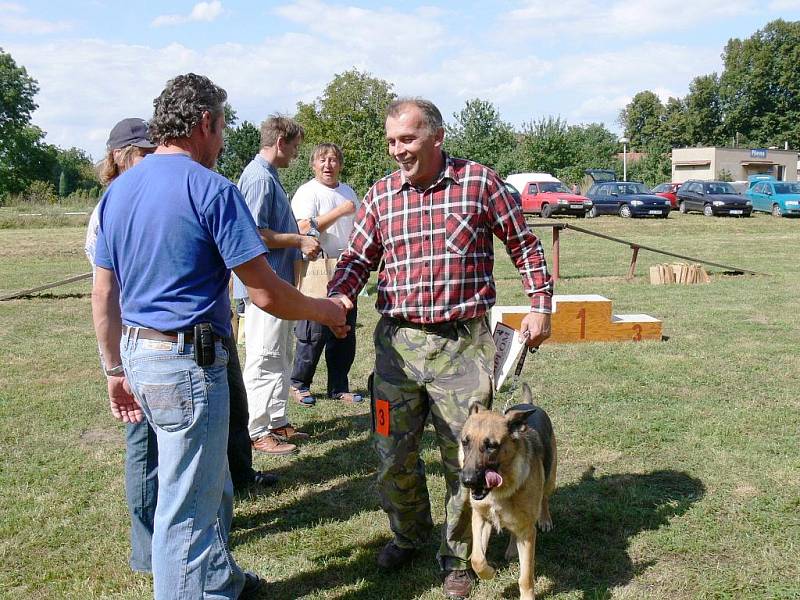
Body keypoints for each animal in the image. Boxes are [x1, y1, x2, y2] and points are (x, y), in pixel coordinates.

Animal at [456, 384, 556, 600]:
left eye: (491, 446)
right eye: (465, 442)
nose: (467, 481)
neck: (500, 492)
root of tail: (529, 404)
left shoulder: (527, 533)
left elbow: (526, 578)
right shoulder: (480, 518)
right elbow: (477, 559)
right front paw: (490, 572)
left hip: (550, 478)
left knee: (544, 498)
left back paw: (545, 519)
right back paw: (511, 549)